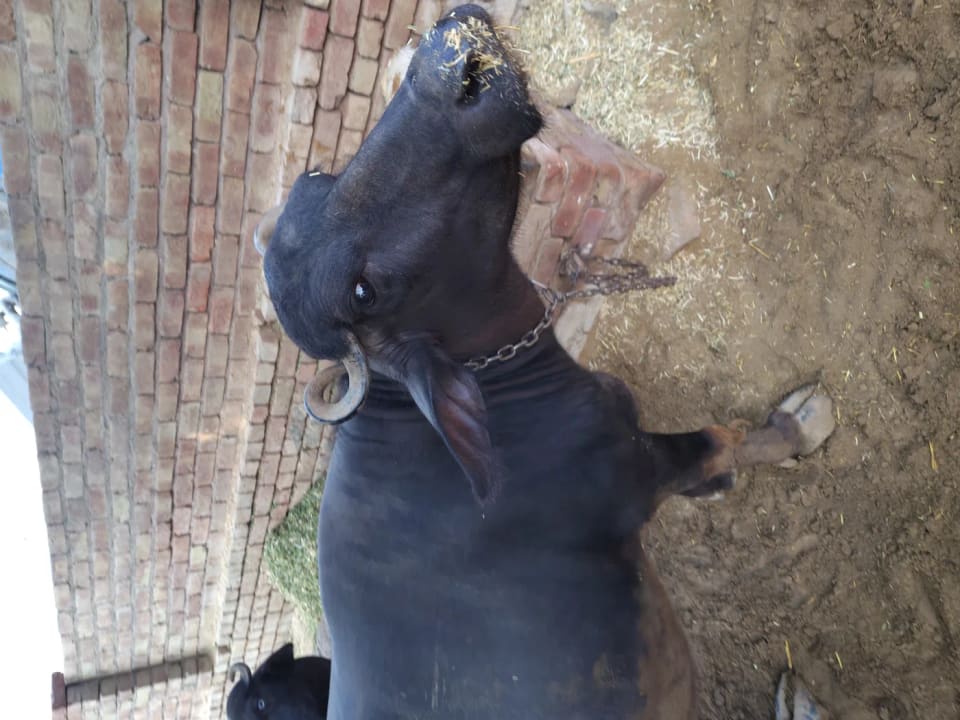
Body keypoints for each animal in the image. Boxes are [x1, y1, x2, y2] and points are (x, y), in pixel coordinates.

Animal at [250, 5, 834, 718]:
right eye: (364, 291)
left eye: (315, 177)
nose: (449, 68)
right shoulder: (637, 469)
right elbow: (723, 442)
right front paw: (802, 422)